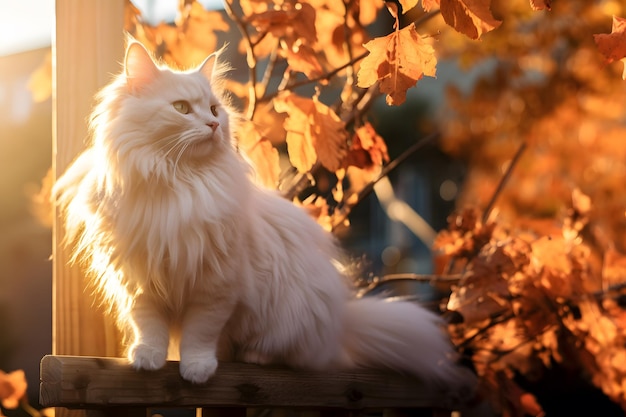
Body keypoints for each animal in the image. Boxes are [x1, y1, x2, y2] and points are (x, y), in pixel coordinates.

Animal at [52, 40, 472, 392]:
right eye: (182, 109)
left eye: (215, 110)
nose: (213, 124)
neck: (177, 182)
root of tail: (341, 322)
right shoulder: (140, 281)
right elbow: (150, 326)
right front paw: (147, 359)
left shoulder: (216, 286)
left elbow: (200, 334)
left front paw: (197, 369)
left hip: (291, 315)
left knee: (292, 354)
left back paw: (254, 355)